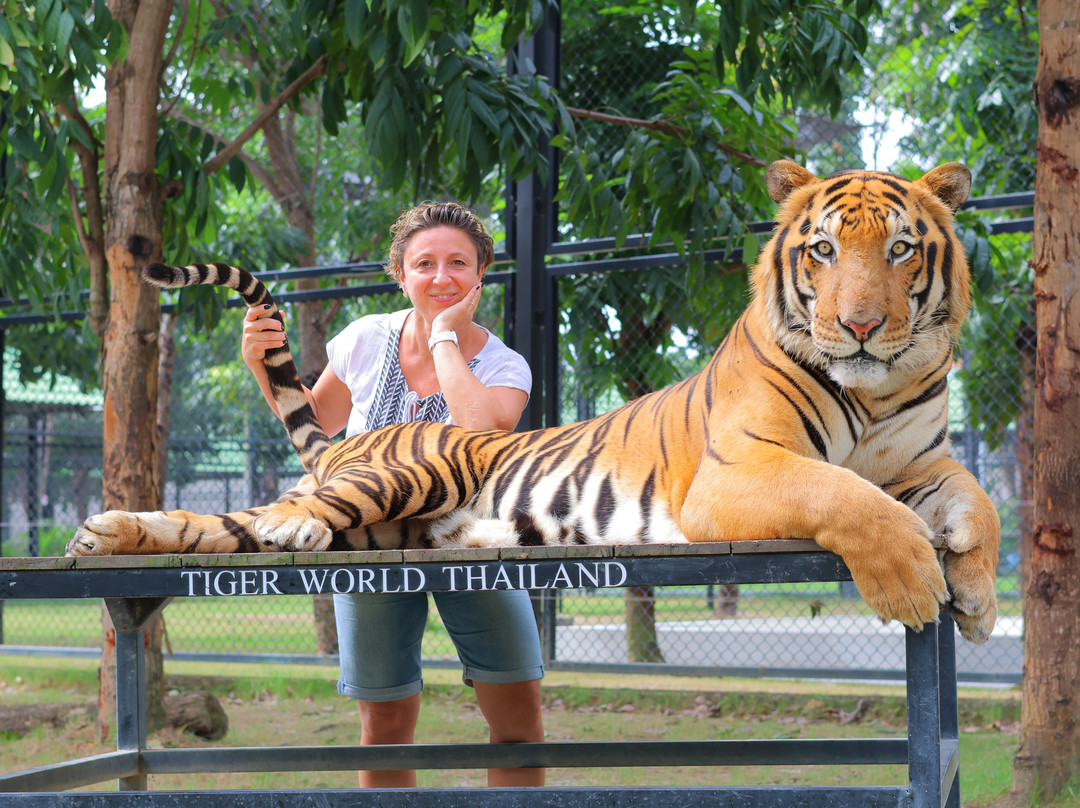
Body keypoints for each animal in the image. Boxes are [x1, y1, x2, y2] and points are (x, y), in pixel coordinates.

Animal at [67, 161, 1000, 644]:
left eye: (902, 249)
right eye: (823, 250)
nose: (861, 325)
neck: (876, 391)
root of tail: (352, 443)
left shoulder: (923, 462)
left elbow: (980, 505)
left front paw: (980, 598)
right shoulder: (739, 471)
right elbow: (847, 498)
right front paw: (915, 583)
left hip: (383, 523)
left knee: (227, 524)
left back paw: (103, 534)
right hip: (403, 480)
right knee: (275, 515)